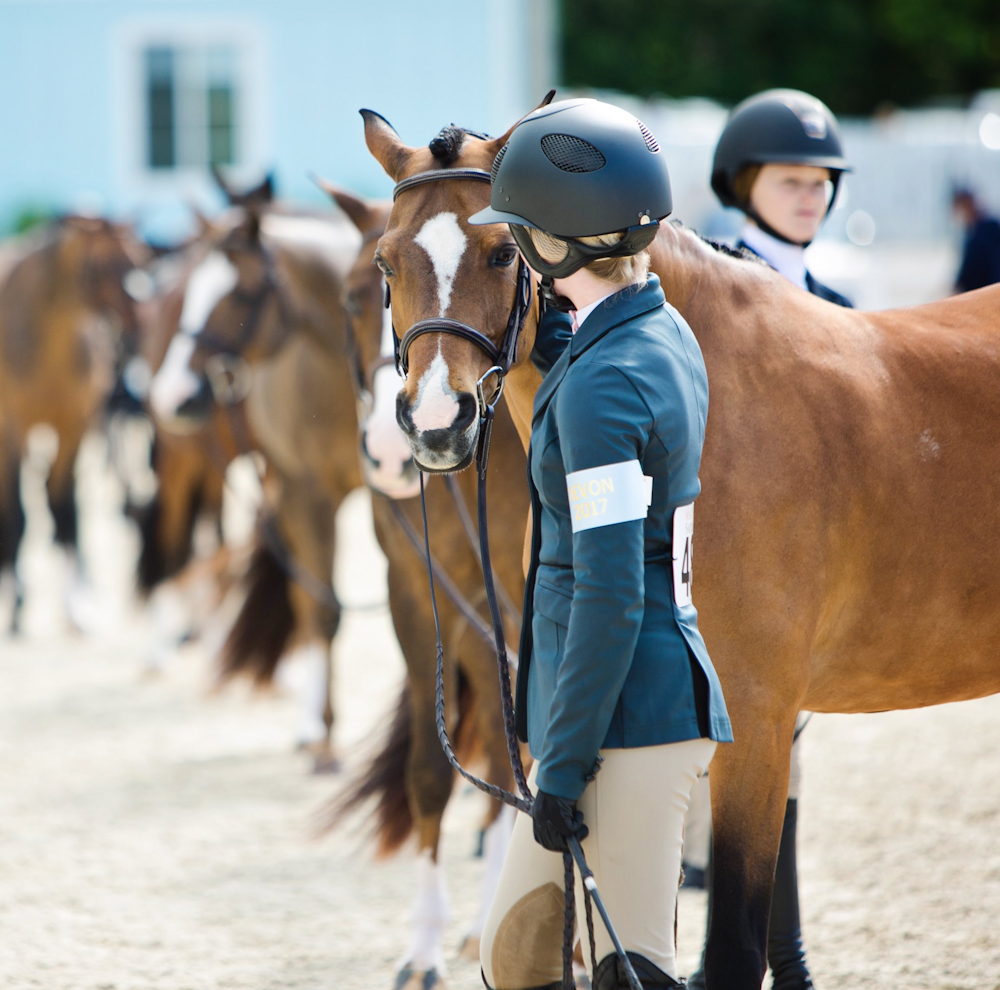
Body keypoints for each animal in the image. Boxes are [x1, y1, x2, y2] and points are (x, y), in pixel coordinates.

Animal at [0, 215, 146, 632]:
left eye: (142, 256)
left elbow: (64, 508)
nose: (145, 318)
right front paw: (12, 604)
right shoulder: (11, 428)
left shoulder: (75, 427)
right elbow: (16, 512)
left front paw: (77, 606)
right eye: (101, 266)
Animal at [148, 183, 364, 770]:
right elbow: (323, 608)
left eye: (242, 293)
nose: (170, 395)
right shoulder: (308, 494)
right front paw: (326, 739)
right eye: (191, 291)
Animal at [313, 178, 529, 988]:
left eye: (501, 259)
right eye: (353, 294)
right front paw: (426, 945)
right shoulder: (419, 598)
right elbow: (434, 771)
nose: (392, 448)